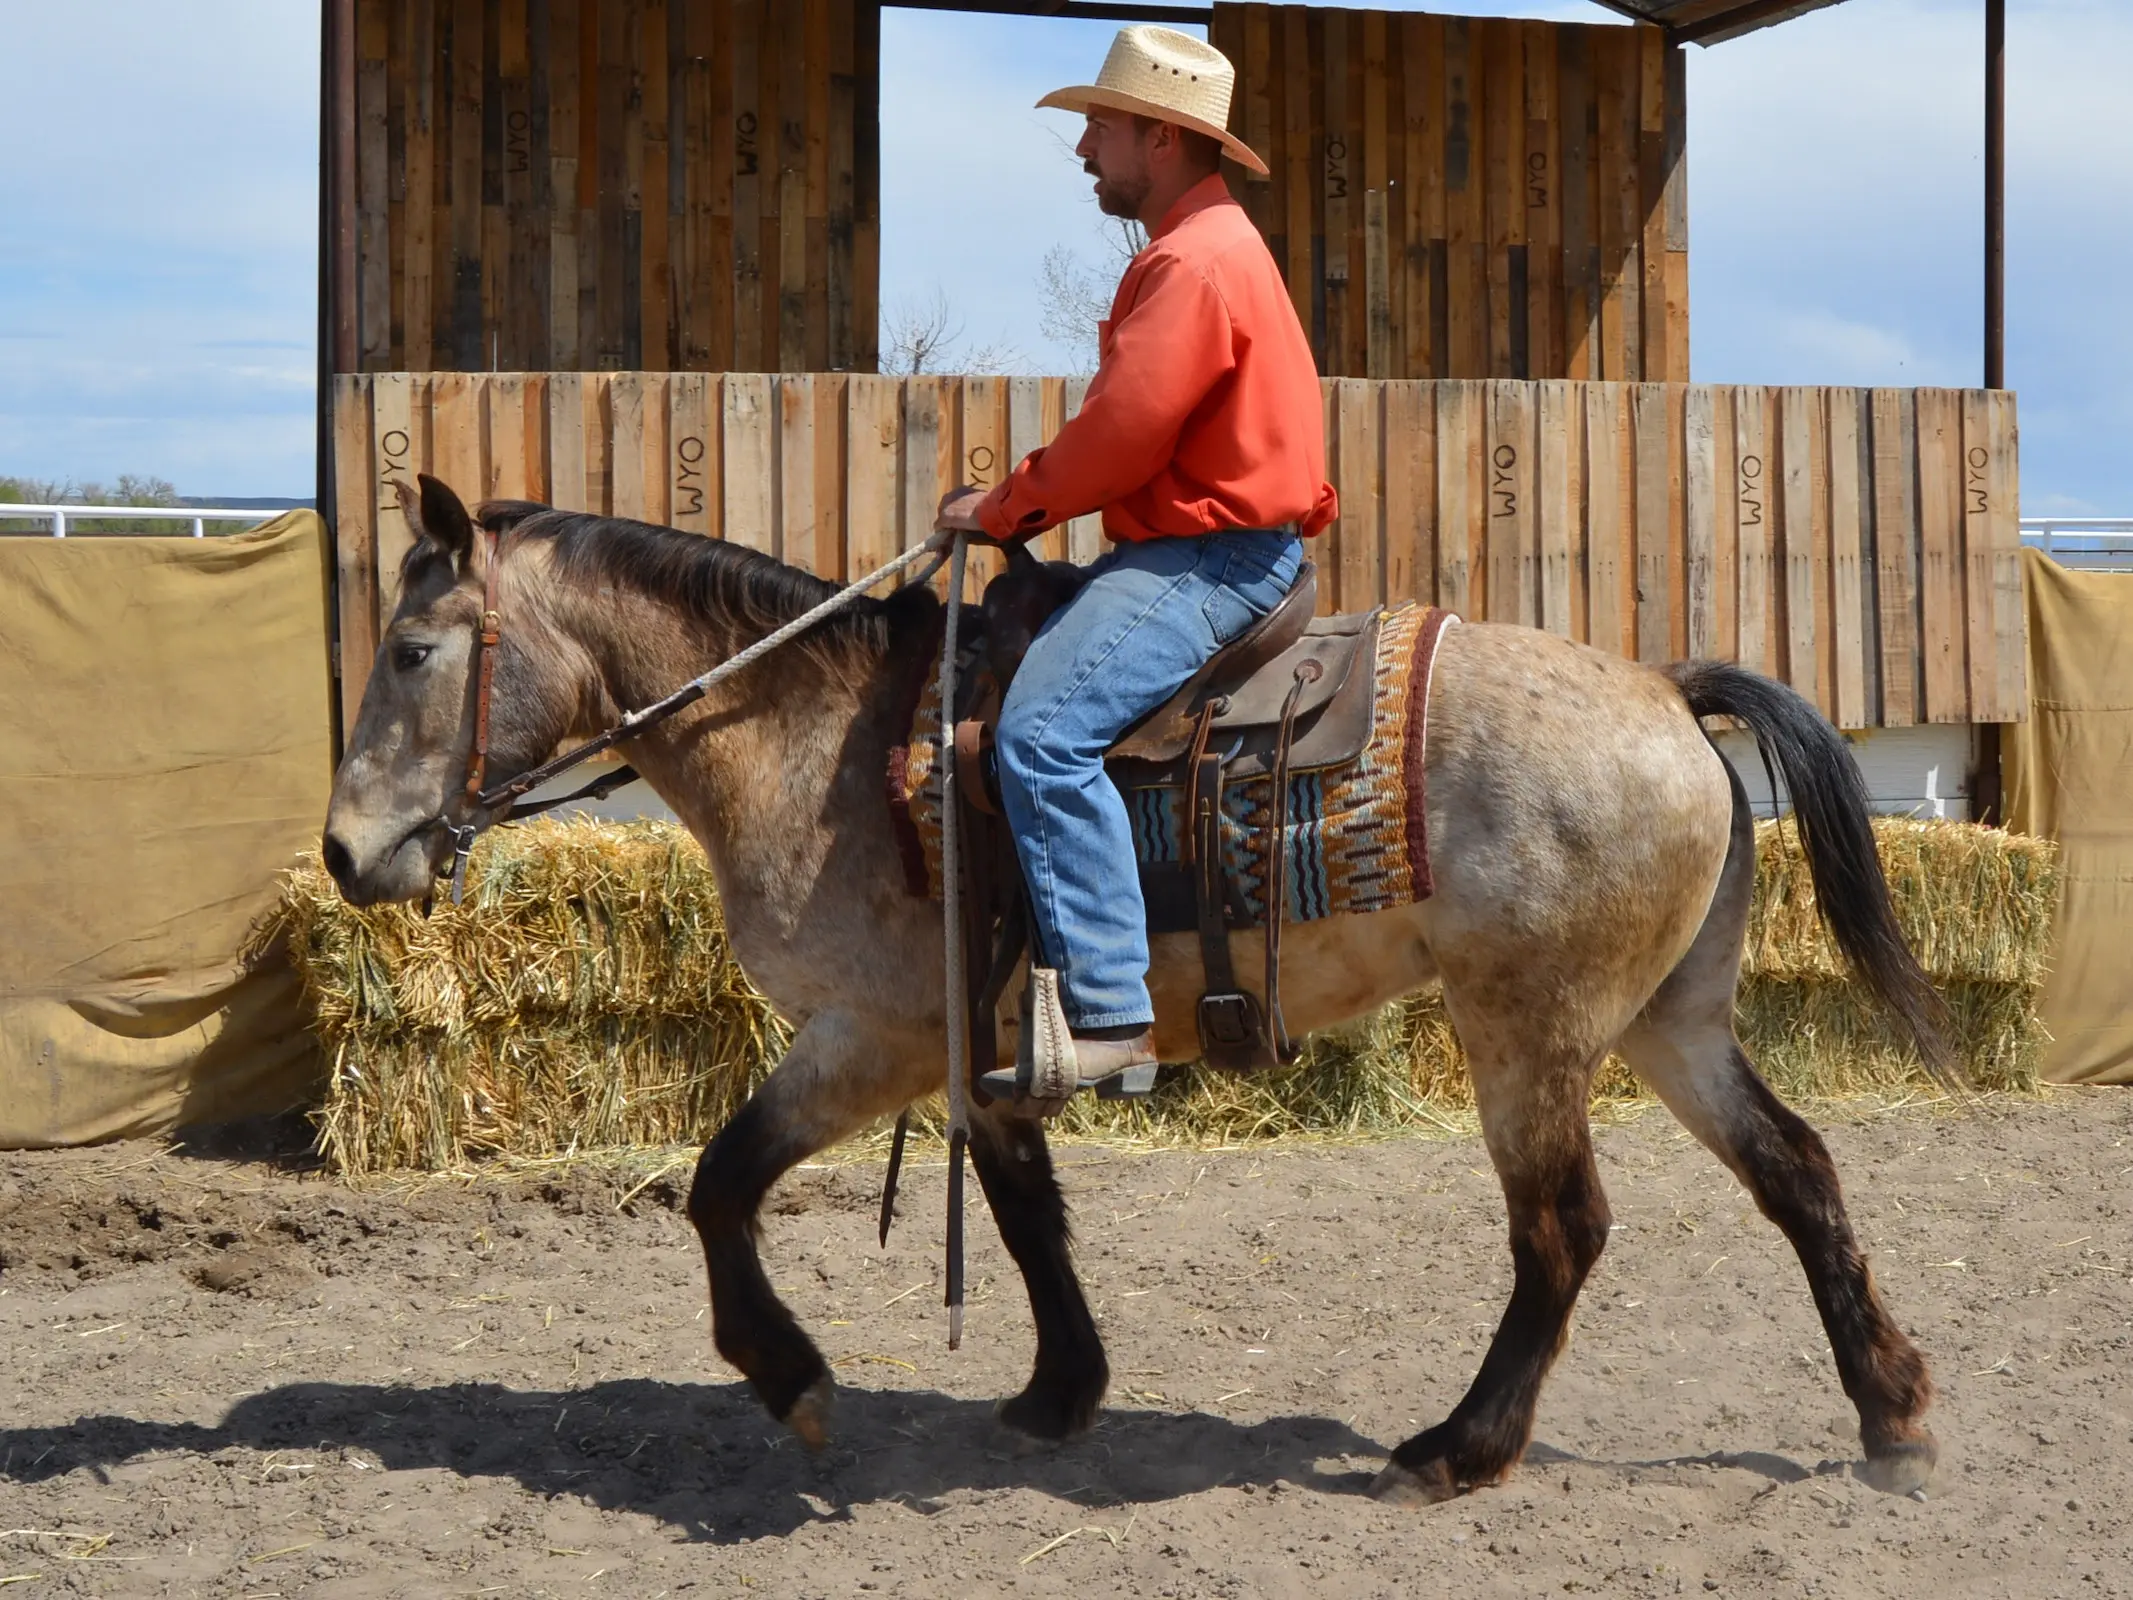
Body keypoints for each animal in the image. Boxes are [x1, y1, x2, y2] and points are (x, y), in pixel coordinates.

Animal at [319, 475, 1953, 1501]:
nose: (343, 853)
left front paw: (790, 1377)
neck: (822, 737)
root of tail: (1671, 694)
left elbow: (721, 1183)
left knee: (1562, 1231)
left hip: (1530, 1030)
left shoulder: (873, 1035)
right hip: (1670, 1021)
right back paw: (1892, 1413)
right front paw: (1059, 1390)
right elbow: (1026, 1214)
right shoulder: (980, 1046)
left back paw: (1459, 1446)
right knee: (1797, 1171)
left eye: (411, 649)